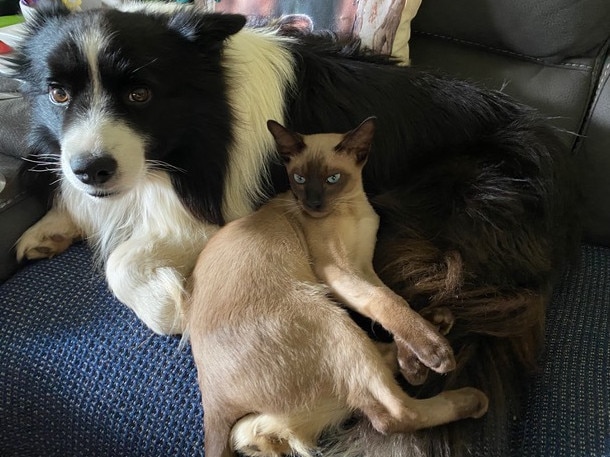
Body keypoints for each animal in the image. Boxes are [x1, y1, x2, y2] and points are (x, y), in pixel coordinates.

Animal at [188, 118, 486, 456]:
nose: (313, 203)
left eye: (333, 179)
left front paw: (414, 362)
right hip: (326, 315)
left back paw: (434, 327)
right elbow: (387, 303)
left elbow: (392, 302)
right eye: (299, 179)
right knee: (391, 414)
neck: (351, 208)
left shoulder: (362, 267)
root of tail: (211, 403)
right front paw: (432, 354)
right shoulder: (339, 272)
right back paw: (471, 398)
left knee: (369, 374)